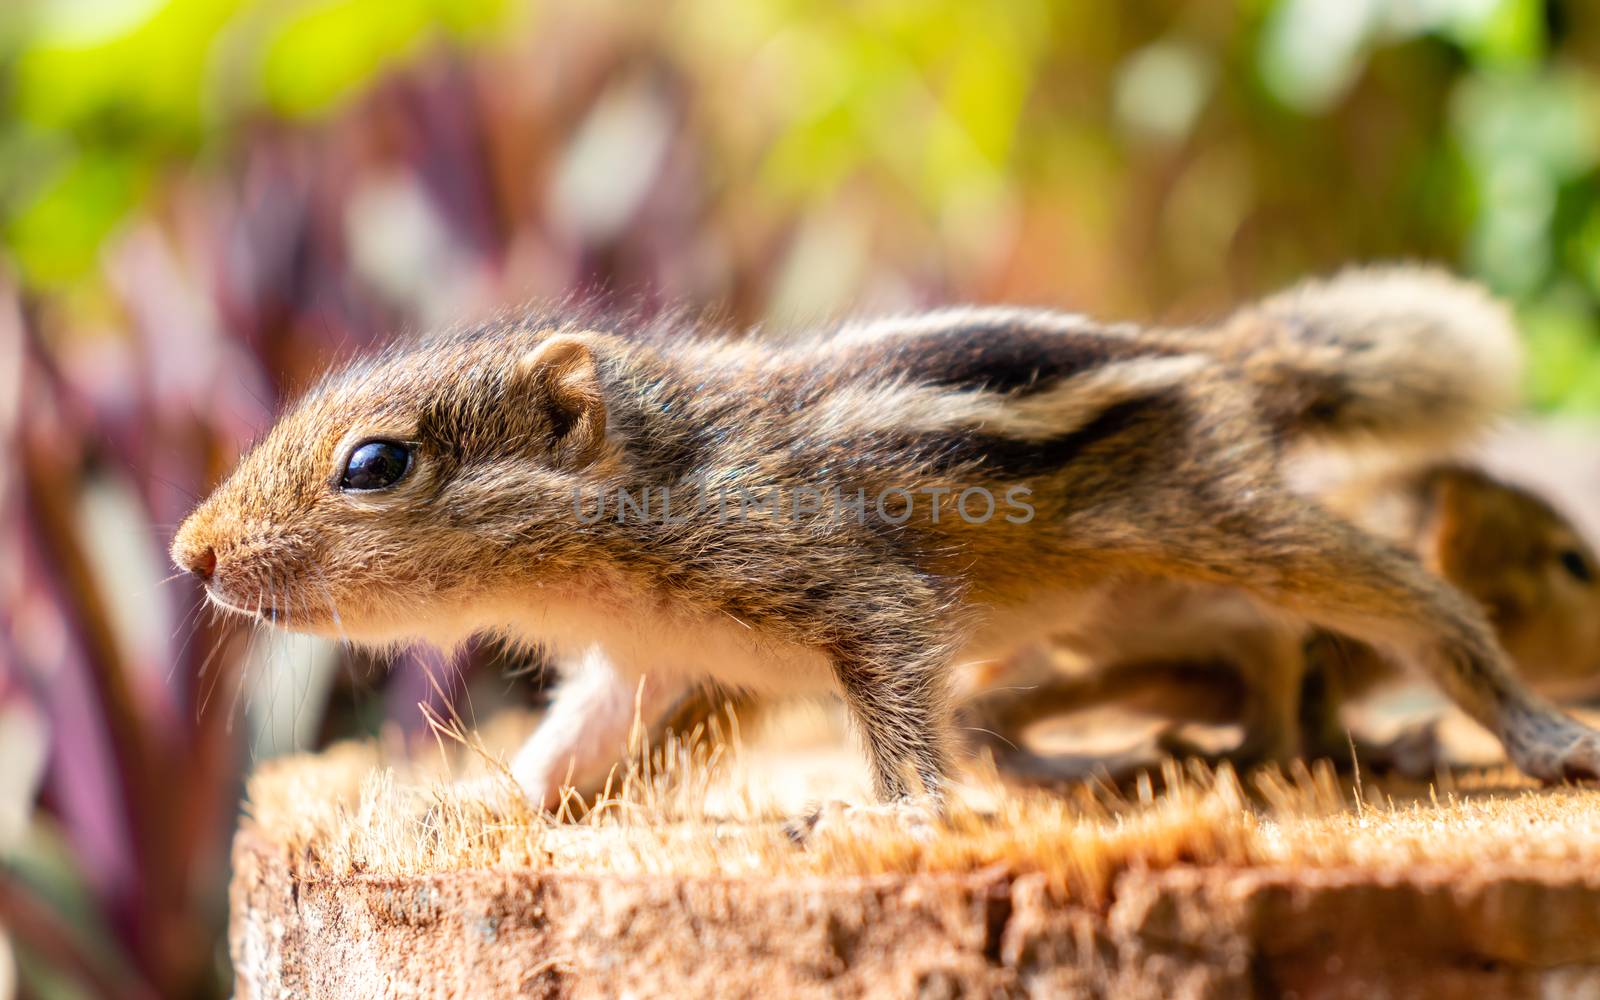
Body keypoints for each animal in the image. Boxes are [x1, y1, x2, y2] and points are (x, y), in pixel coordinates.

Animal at [168, 260, 1600, 806]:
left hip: (1231, 522)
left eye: (373, 463)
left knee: (1416, 597)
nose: (189, 553)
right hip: (1137, 611)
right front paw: (475, 805)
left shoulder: (851, 593)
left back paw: (1535, 733)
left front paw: (894, 819)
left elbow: (900, 714)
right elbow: (573, 744)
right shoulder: (637, 662)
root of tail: (1222, 357)